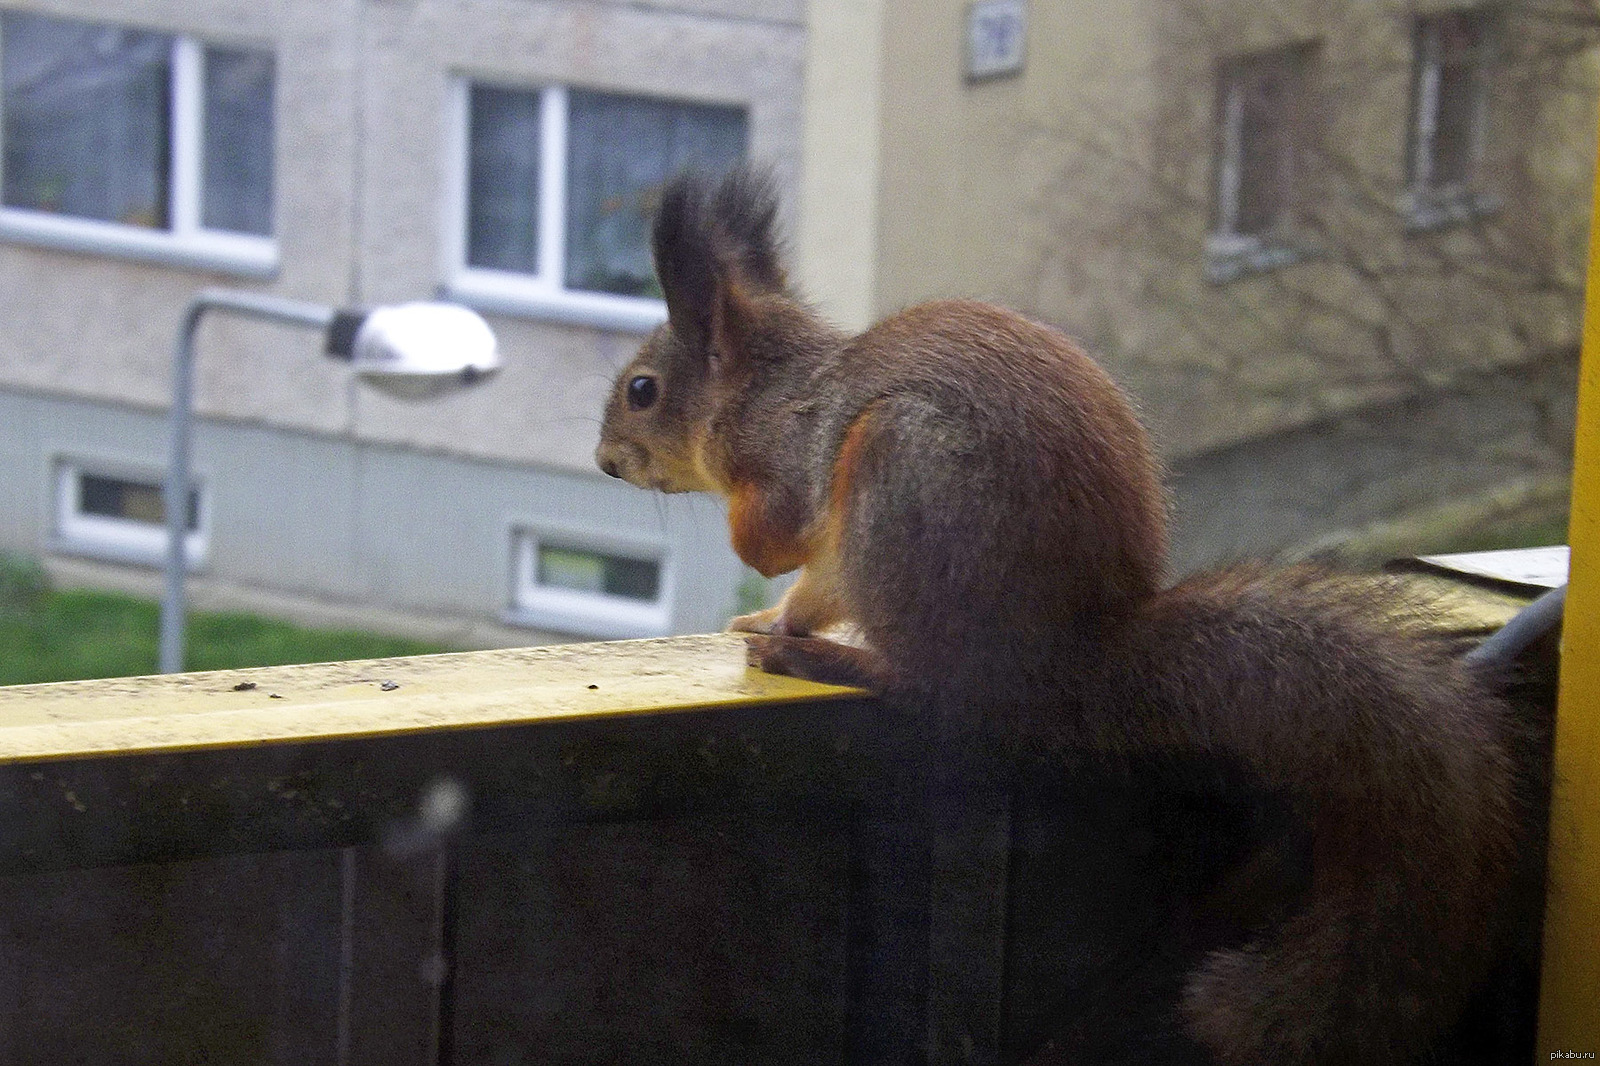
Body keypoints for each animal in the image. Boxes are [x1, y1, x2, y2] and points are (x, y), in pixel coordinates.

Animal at [598, 168, 1523, 1062]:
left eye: (643, 391)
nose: (604, 463)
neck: (766, 387)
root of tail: (1071, 666)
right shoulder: (833, 554)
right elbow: (816, 588)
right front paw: (771, 622)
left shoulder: (787, 467)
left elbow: (772, 542)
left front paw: (773, 617)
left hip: (904, 488)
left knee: (934, 686)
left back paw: (833, 663)